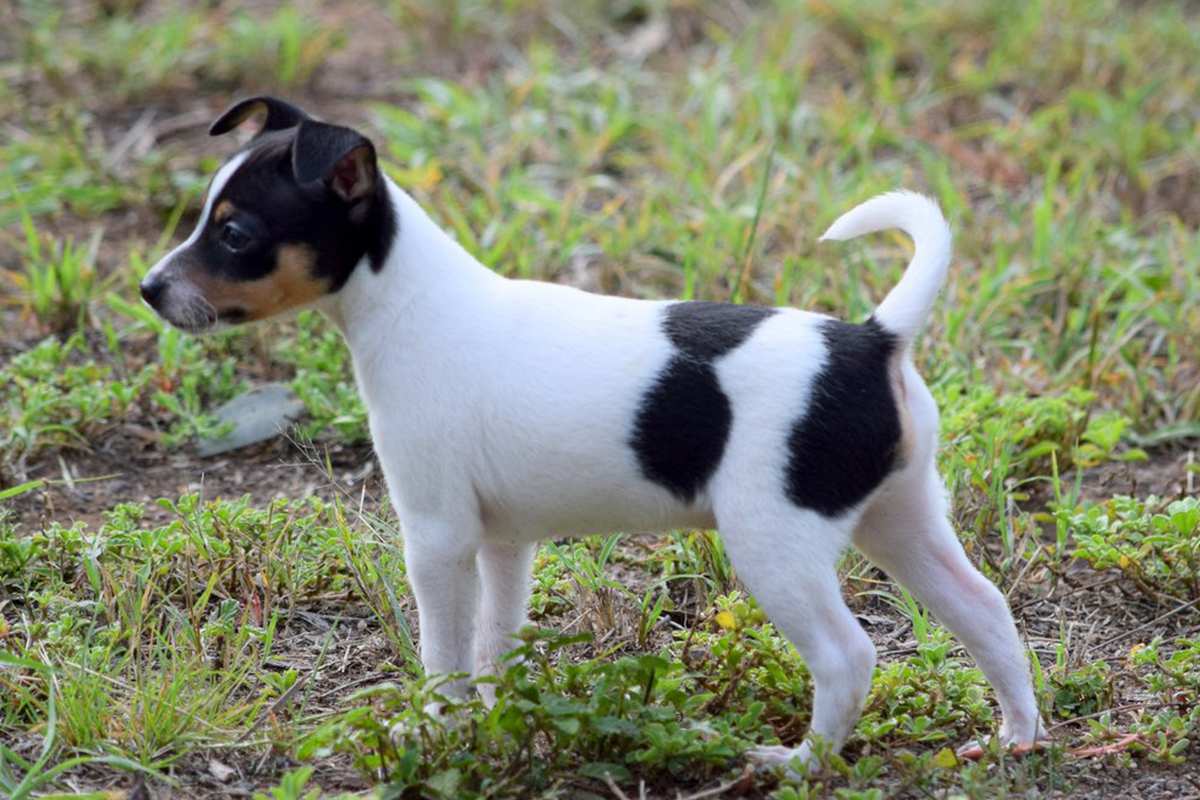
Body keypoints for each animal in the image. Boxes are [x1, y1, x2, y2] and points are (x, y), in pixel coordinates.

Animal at [138, 97, 1041, 772]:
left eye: (235, 234)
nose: (149, 289)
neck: (408, 303)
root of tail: (872, 339)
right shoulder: (503, 543)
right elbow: (497, 644)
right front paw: (495, 722)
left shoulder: (436, 536)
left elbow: (444, 656)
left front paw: (431, 731)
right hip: (903, 518)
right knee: (986, 610)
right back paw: (1017, 738)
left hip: (775, 543)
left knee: (849, 658)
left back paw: (797, 765)